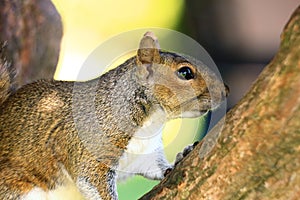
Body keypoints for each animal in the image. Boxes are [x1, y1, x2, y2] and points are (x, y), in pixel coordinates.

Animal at [0, 32, 227, 199]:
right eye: (186, 72)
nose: (226, 91)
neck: (152, 121)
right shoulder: (94, 148)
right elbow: (93, 179)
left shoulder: (143, 154)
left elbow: (156, 167)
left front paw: (182, 155)